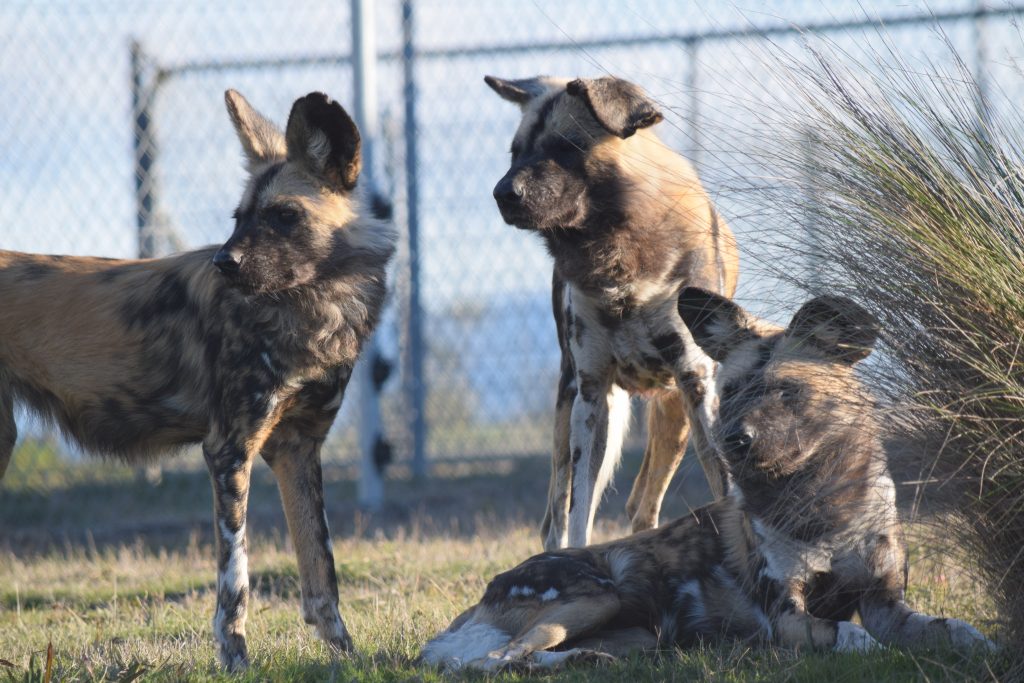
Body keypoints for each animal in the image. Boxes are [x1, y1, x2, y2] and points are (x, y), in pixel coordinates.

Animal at [0, 88, 395, 671]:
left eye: (284, 216)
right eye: (239, 217)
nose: (224, 262)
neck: (311, 307)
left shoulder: (297, 448)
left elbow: (321, 571)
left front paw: (346, 657)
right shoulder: (230, 450)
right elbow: (237, 579)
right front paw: (236, 660)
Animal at [417, 286, 991, 671]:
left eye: (786, 392)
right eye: (730, 393)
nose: (734, 441)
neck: (826, 510)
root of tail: (480, 598)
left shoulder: (885, 603)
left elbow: (949, 627)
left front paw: (981, 644)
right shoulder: (788, 617)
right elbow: (849, 636)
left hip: (639, 634)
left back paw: (586, 661)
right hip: (592, 597)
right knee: (492, 659)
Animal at [483, 73, 741, 548]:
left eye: (565, 147)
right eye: (515, 152)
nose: (502, 194)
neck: (619, 257)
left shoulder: (697, 384)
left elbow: (730, 492)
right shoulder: (591, 391)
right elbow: (579, 514)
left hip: (675, 417)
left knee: (643, 507)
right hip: (572, 412)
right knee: (557, 517)